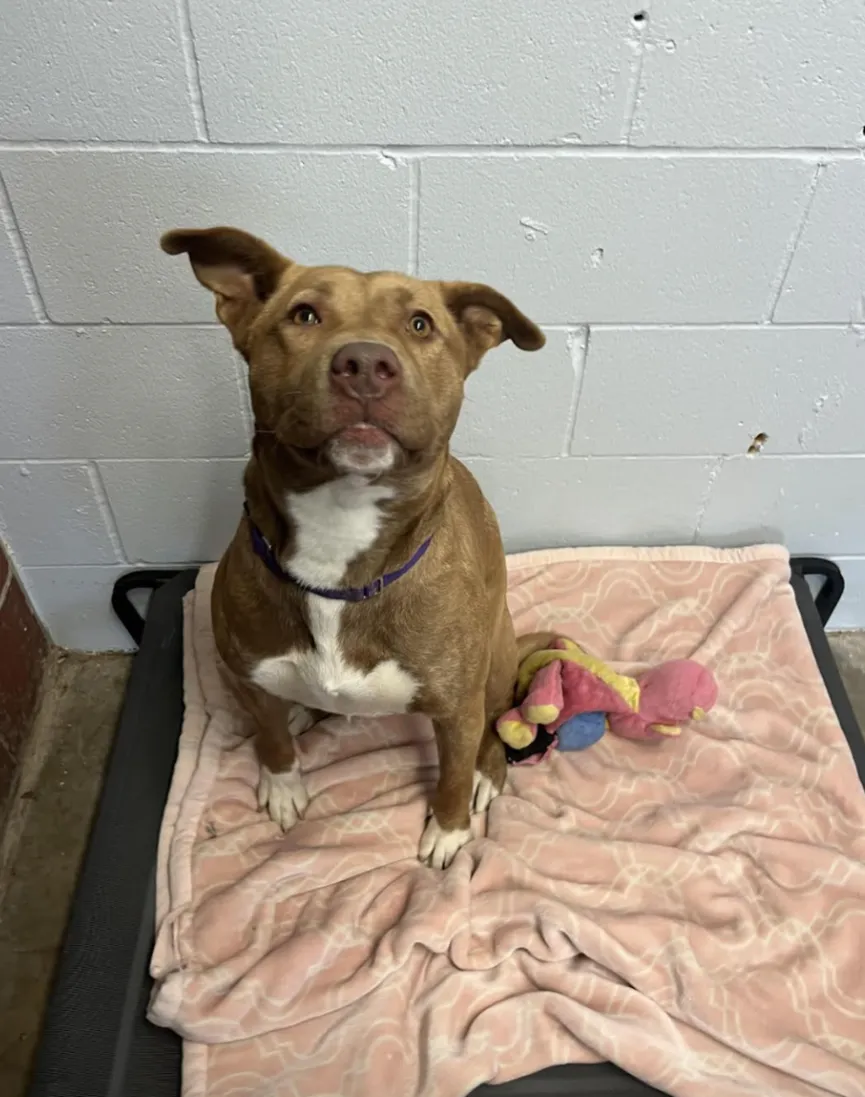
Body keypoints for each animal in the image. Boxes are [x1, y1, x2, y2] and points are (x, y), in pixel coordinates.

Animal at [160, 229, 539, 864]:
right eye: (304, 314)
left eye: (420, 324)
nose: (365, 363)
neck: (339, 535)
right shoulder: (245, 673)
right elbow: (268, 735)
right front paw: (282, 782)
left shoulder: (457, 707)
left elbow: (453, 770)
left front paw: (449, 828)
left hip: (496, 655)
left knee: (495, 718)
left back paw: (488, 773)